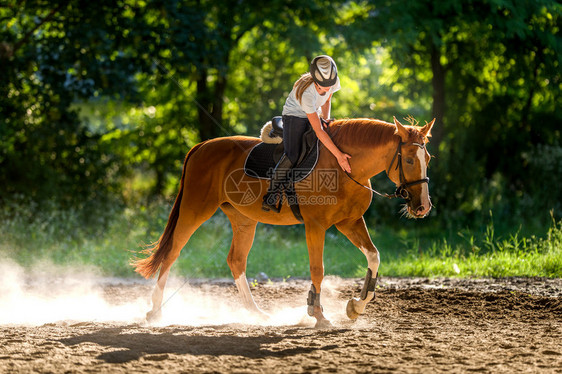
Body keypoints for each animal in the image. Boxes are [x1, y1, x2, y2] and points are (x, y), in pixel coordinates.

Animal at [132, 117, 434, 328]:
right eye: (409, 159)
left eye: (427, 158)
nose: (422, 207)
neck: (344, 167)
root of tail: (201, 146)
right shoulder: (315, 226)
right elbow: (317, 270)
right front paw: (318, 315)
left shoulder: (350, 222)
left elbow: (374, 257)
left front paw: (356, 306)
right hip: (195, 210)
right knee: (172, 253)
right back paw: (155, 311)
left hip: (243, 221)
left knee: (236, 260)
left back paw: (256, 312)